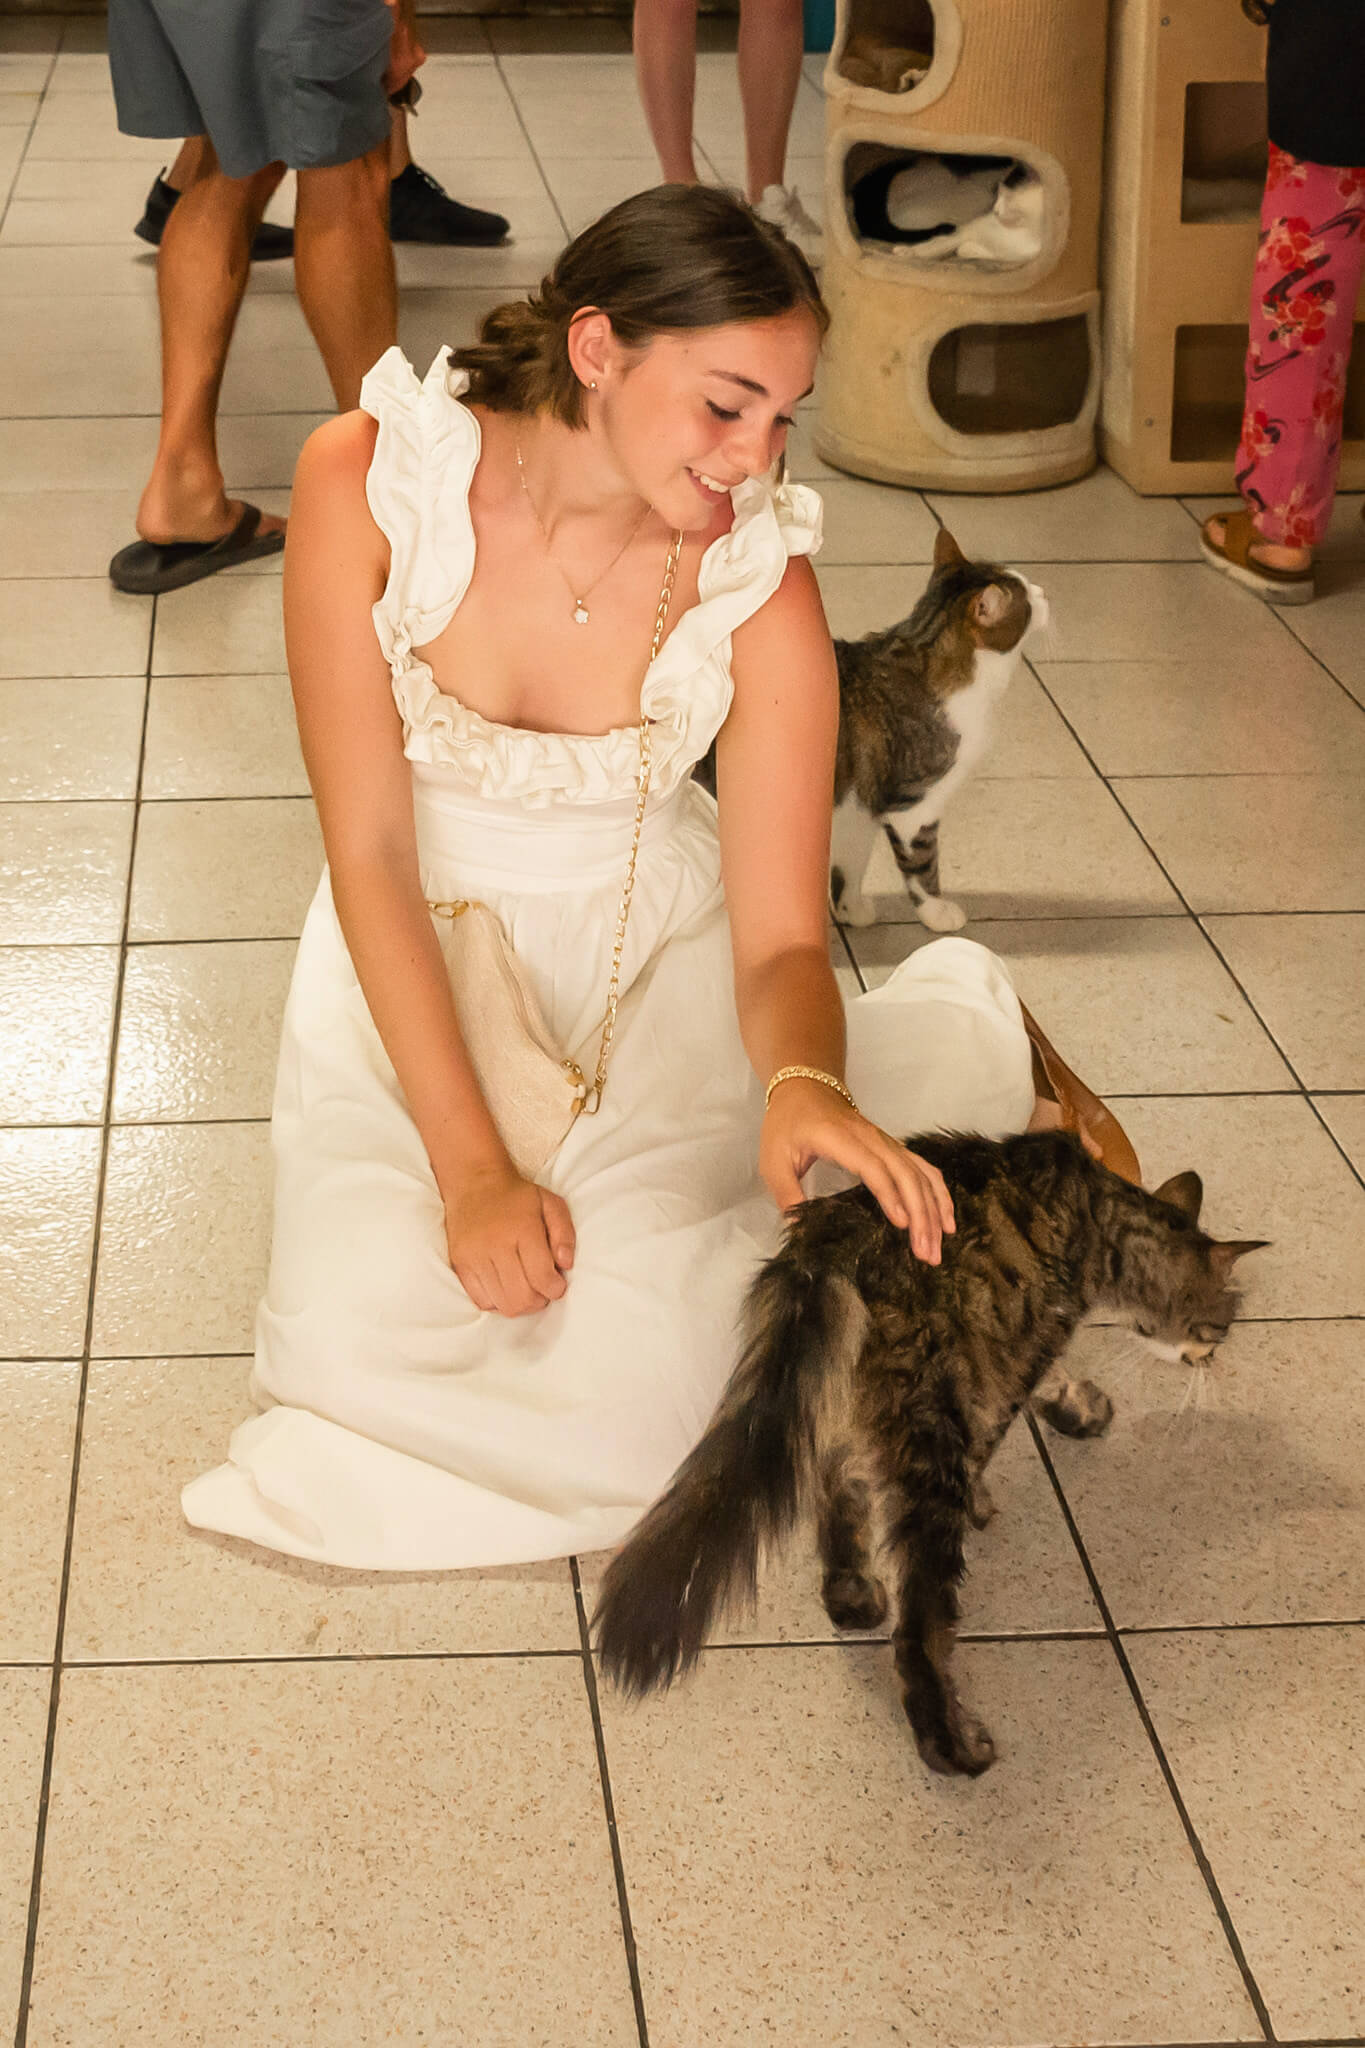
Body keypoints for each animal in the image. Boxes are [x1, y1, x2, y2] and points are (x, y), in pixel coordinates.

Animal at [593, 1130, 1268, 1785]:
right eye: (1221, 1325)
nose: (1214, 1360)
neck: (1100, 1212)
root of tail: (831, 1248)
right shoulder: (1027, 1345)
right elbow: (1004, 1421)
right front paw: (1001, 1481)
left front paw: (1078, 1408)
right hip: (929, 1429)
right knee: (917, 1630)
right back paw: (950, 1745)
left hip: (849, 1397)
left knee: (838, 1493)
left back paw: (851, 1591)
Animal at [834, 532, 1047, 937]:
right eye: (1026, 597)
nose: (1043, 590)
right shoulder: (913, 804)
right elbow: (922, 866)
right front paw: (936, 911)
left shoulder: (859, 805)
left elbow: (851, 859)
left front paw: (849, 908)